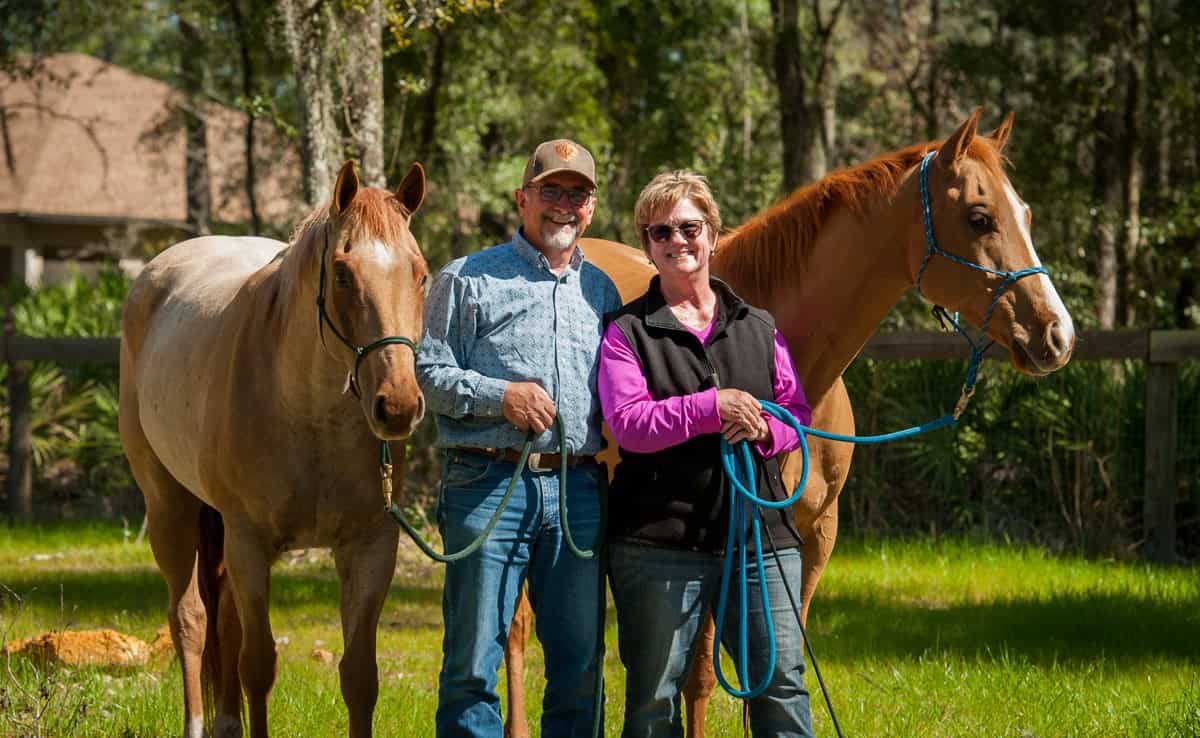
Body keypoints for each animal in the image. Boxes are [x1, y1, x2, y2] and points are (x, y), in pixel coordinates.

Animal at [119, 160, 429, 738]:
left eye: (421, 273)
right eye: (343, 274)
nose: (397, 406)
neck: (310, 418)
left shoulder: (370, 546)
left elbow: (360, 676)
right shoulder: (250, 541)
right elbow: (259, 665)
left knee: (224, 619)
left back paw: (225, 724)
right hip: (170, 508)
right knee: (191, 620)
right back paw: (198, 722)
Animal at [502, 109, 1075, 738]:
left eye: (1025, 213)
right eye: (979, 217)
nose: (1057, 335)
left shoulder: (809, 540)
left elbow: (769, 671)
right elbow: (698, 677)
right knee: (518, 635)